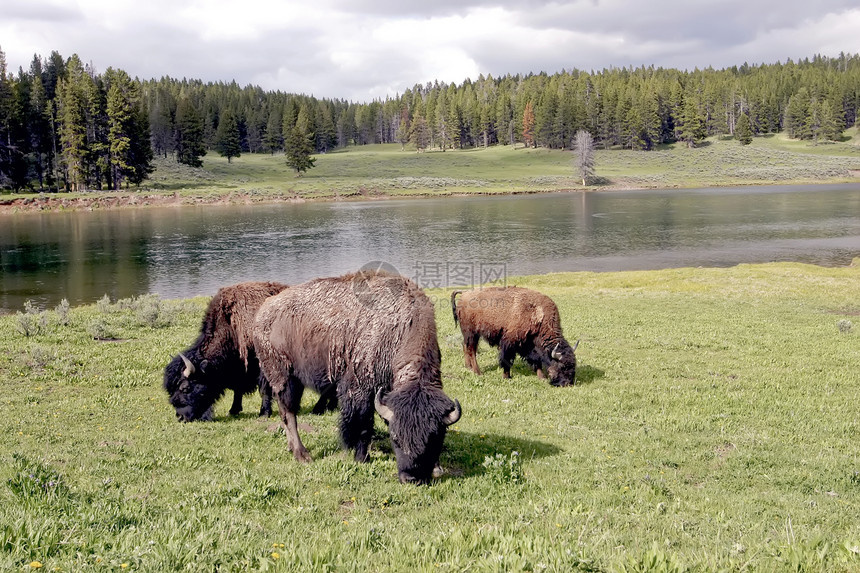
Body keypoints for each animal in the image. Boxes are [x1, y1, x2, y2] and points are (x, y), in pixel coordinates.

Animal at [163, 280, 338, 420]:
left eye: (185, 387)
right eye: (170, 390)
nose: (180, 417)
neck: (230, 326)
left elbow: (264, 389)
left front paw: (264, 413)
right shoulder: (240, 368)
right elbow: (237, 388)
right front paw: (234, 409)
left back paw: (319, 409)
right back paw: (329, 406)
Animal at [252, 270, 460, 482]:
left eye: (434, 438)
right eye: (395, 438)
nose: (410, 478)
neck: (399, 328)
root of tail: (263, 312)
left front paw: (436, 467)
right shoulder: (360, 390)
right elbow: (362, 424)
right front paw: (361, 457)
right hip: (285, 378)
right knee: (289, 413)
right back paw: (302, 454)